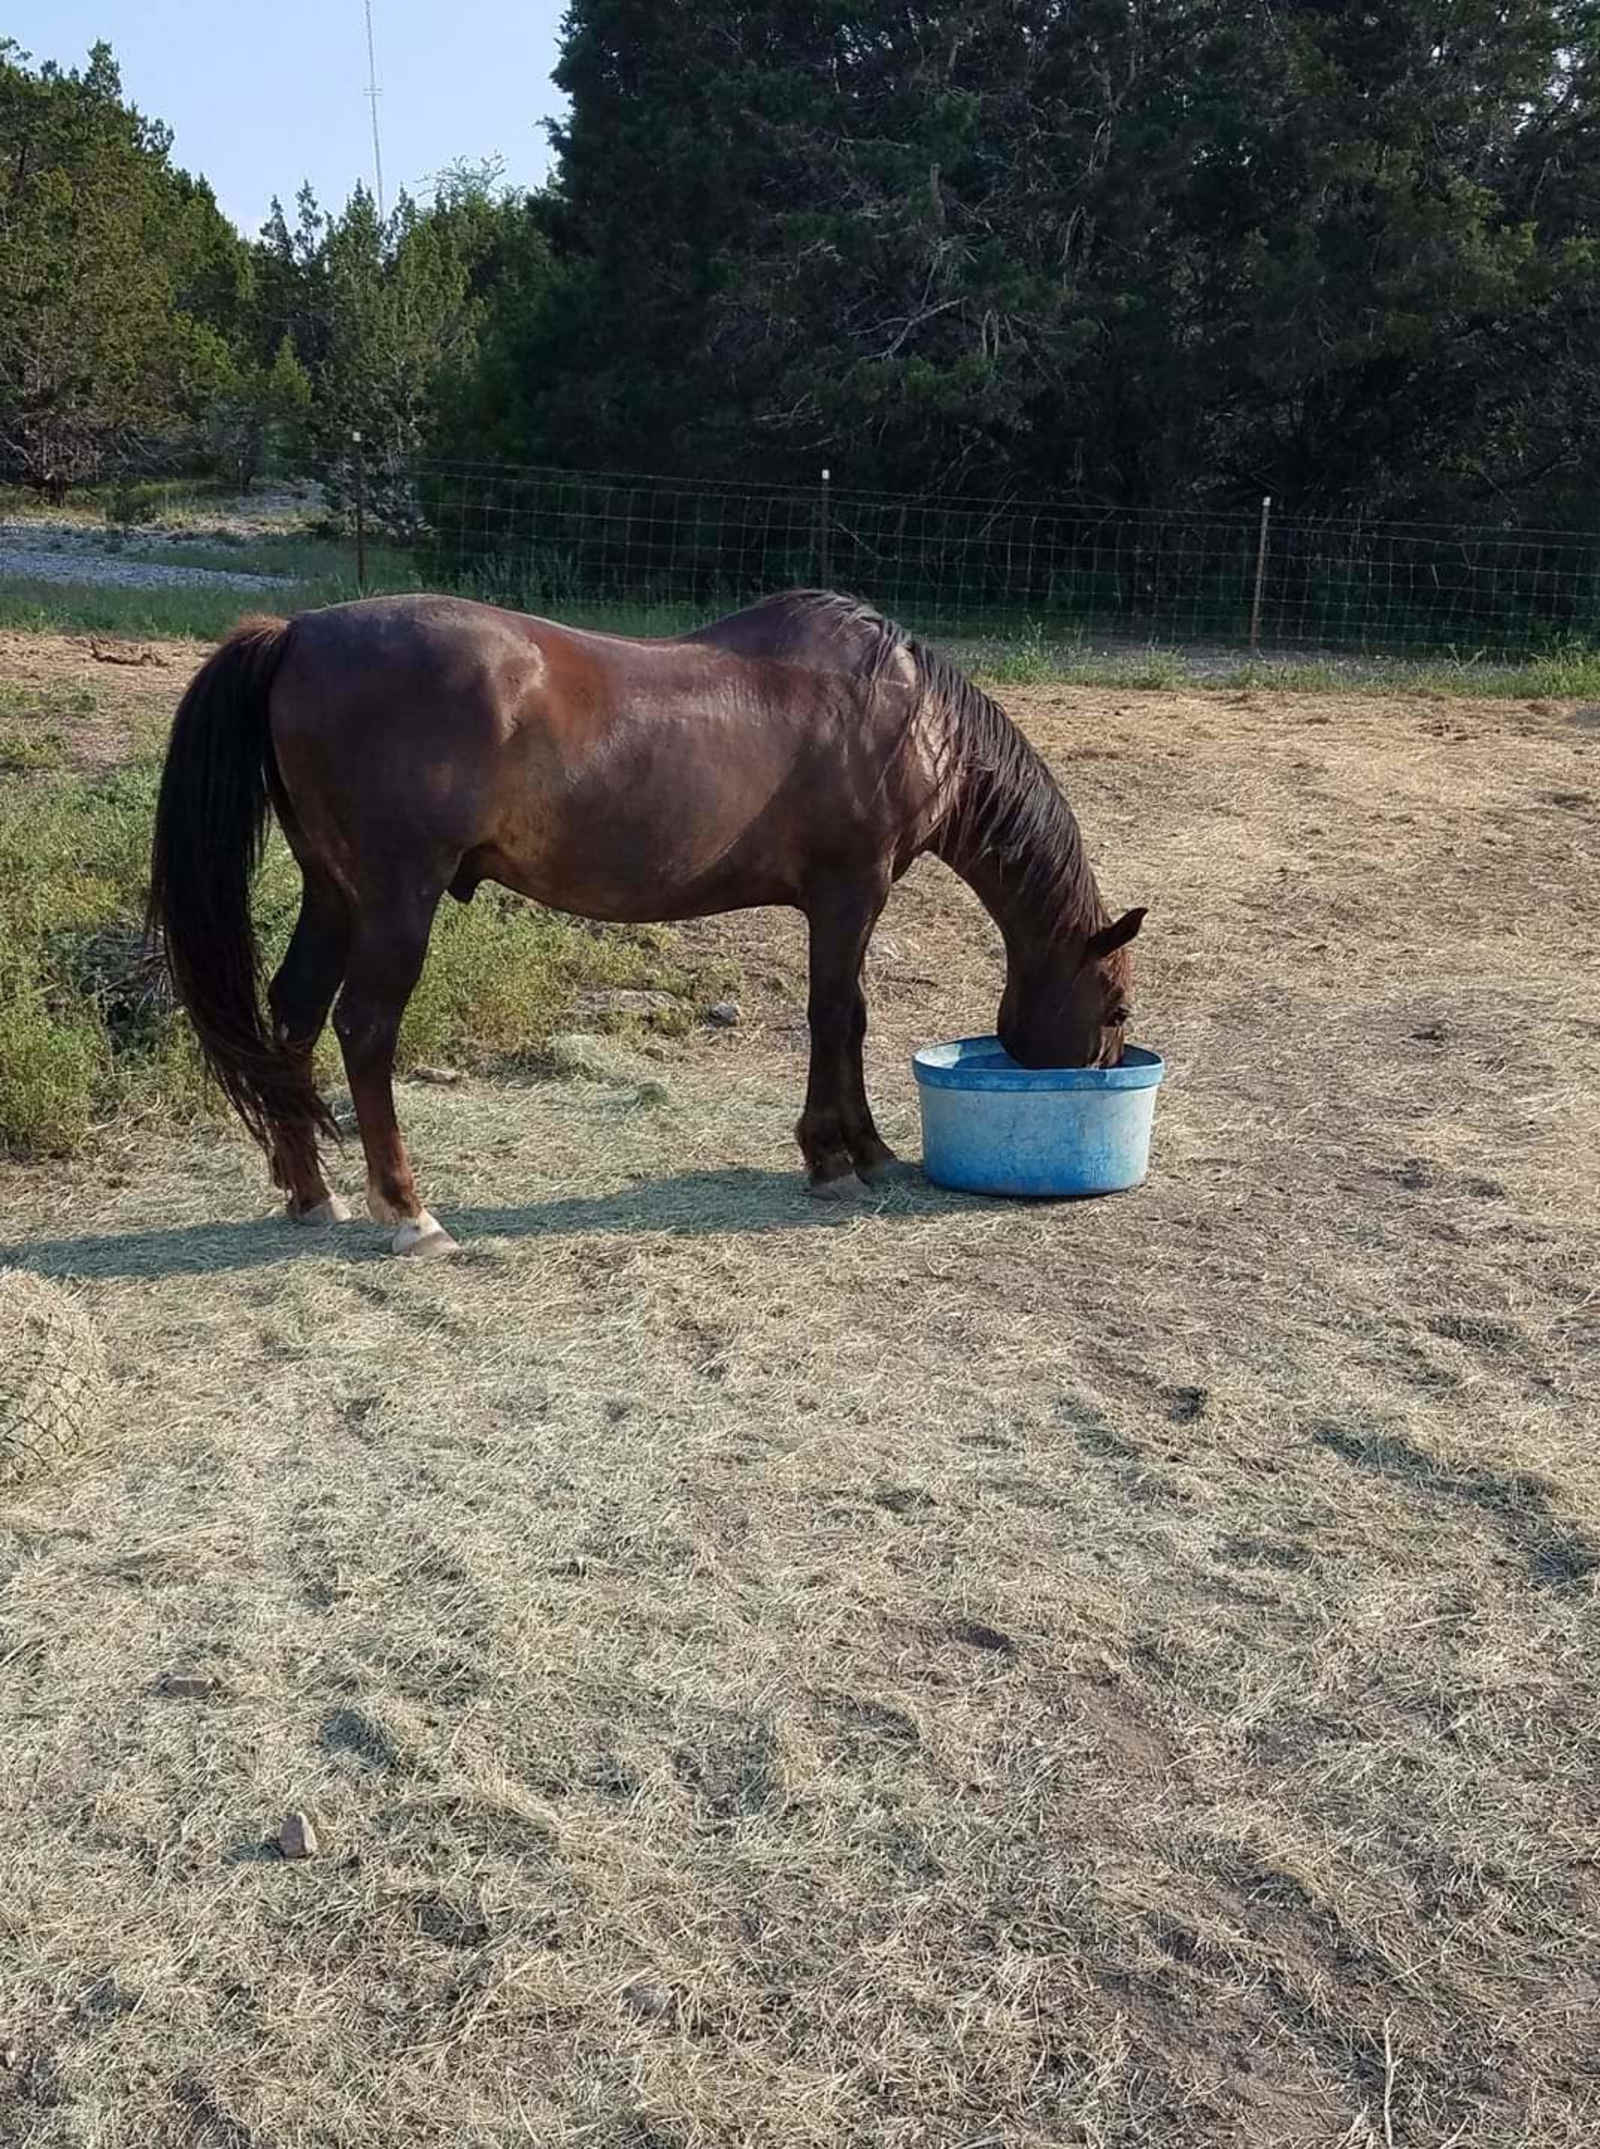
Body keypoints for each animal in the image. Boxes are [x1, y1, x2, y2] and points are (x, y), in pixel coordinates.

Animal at [148, 590, 1145, 1255]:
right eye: (1118, 1009)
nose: (1100, 1071)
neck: (903, 713)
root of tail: (297, 633)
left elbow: (841, 1016)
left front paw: (850, 1149)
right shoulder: (849, 893)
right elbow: (841, 1016)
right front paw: (844, 1156)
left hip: (333, 891)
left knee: (295, 1010)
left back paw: (312, 1192)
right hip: (396, 898)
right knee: (363, 1026)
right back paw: (408, 1208)